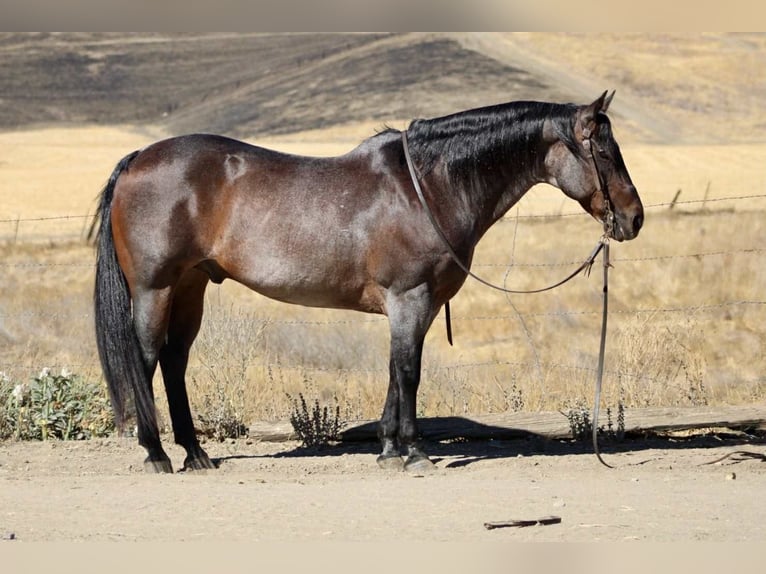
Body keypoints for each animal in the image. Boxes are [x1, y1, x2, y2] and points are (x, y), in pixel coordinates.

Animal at [91, 91, 643, 473]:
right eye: (604, 151)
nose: (634, 219)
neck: (429, 187)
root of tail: (138, 158)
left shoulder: (417, 307)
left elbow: (396, 372)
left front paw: (389, 448)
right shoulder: (410, 299)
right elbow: (410, 373)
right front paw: (415, 453)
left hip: (191, 287)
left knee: (173, 361)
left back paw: (195, 453)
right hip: (156, 289)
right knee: (145, 358)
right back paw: (156, 453)